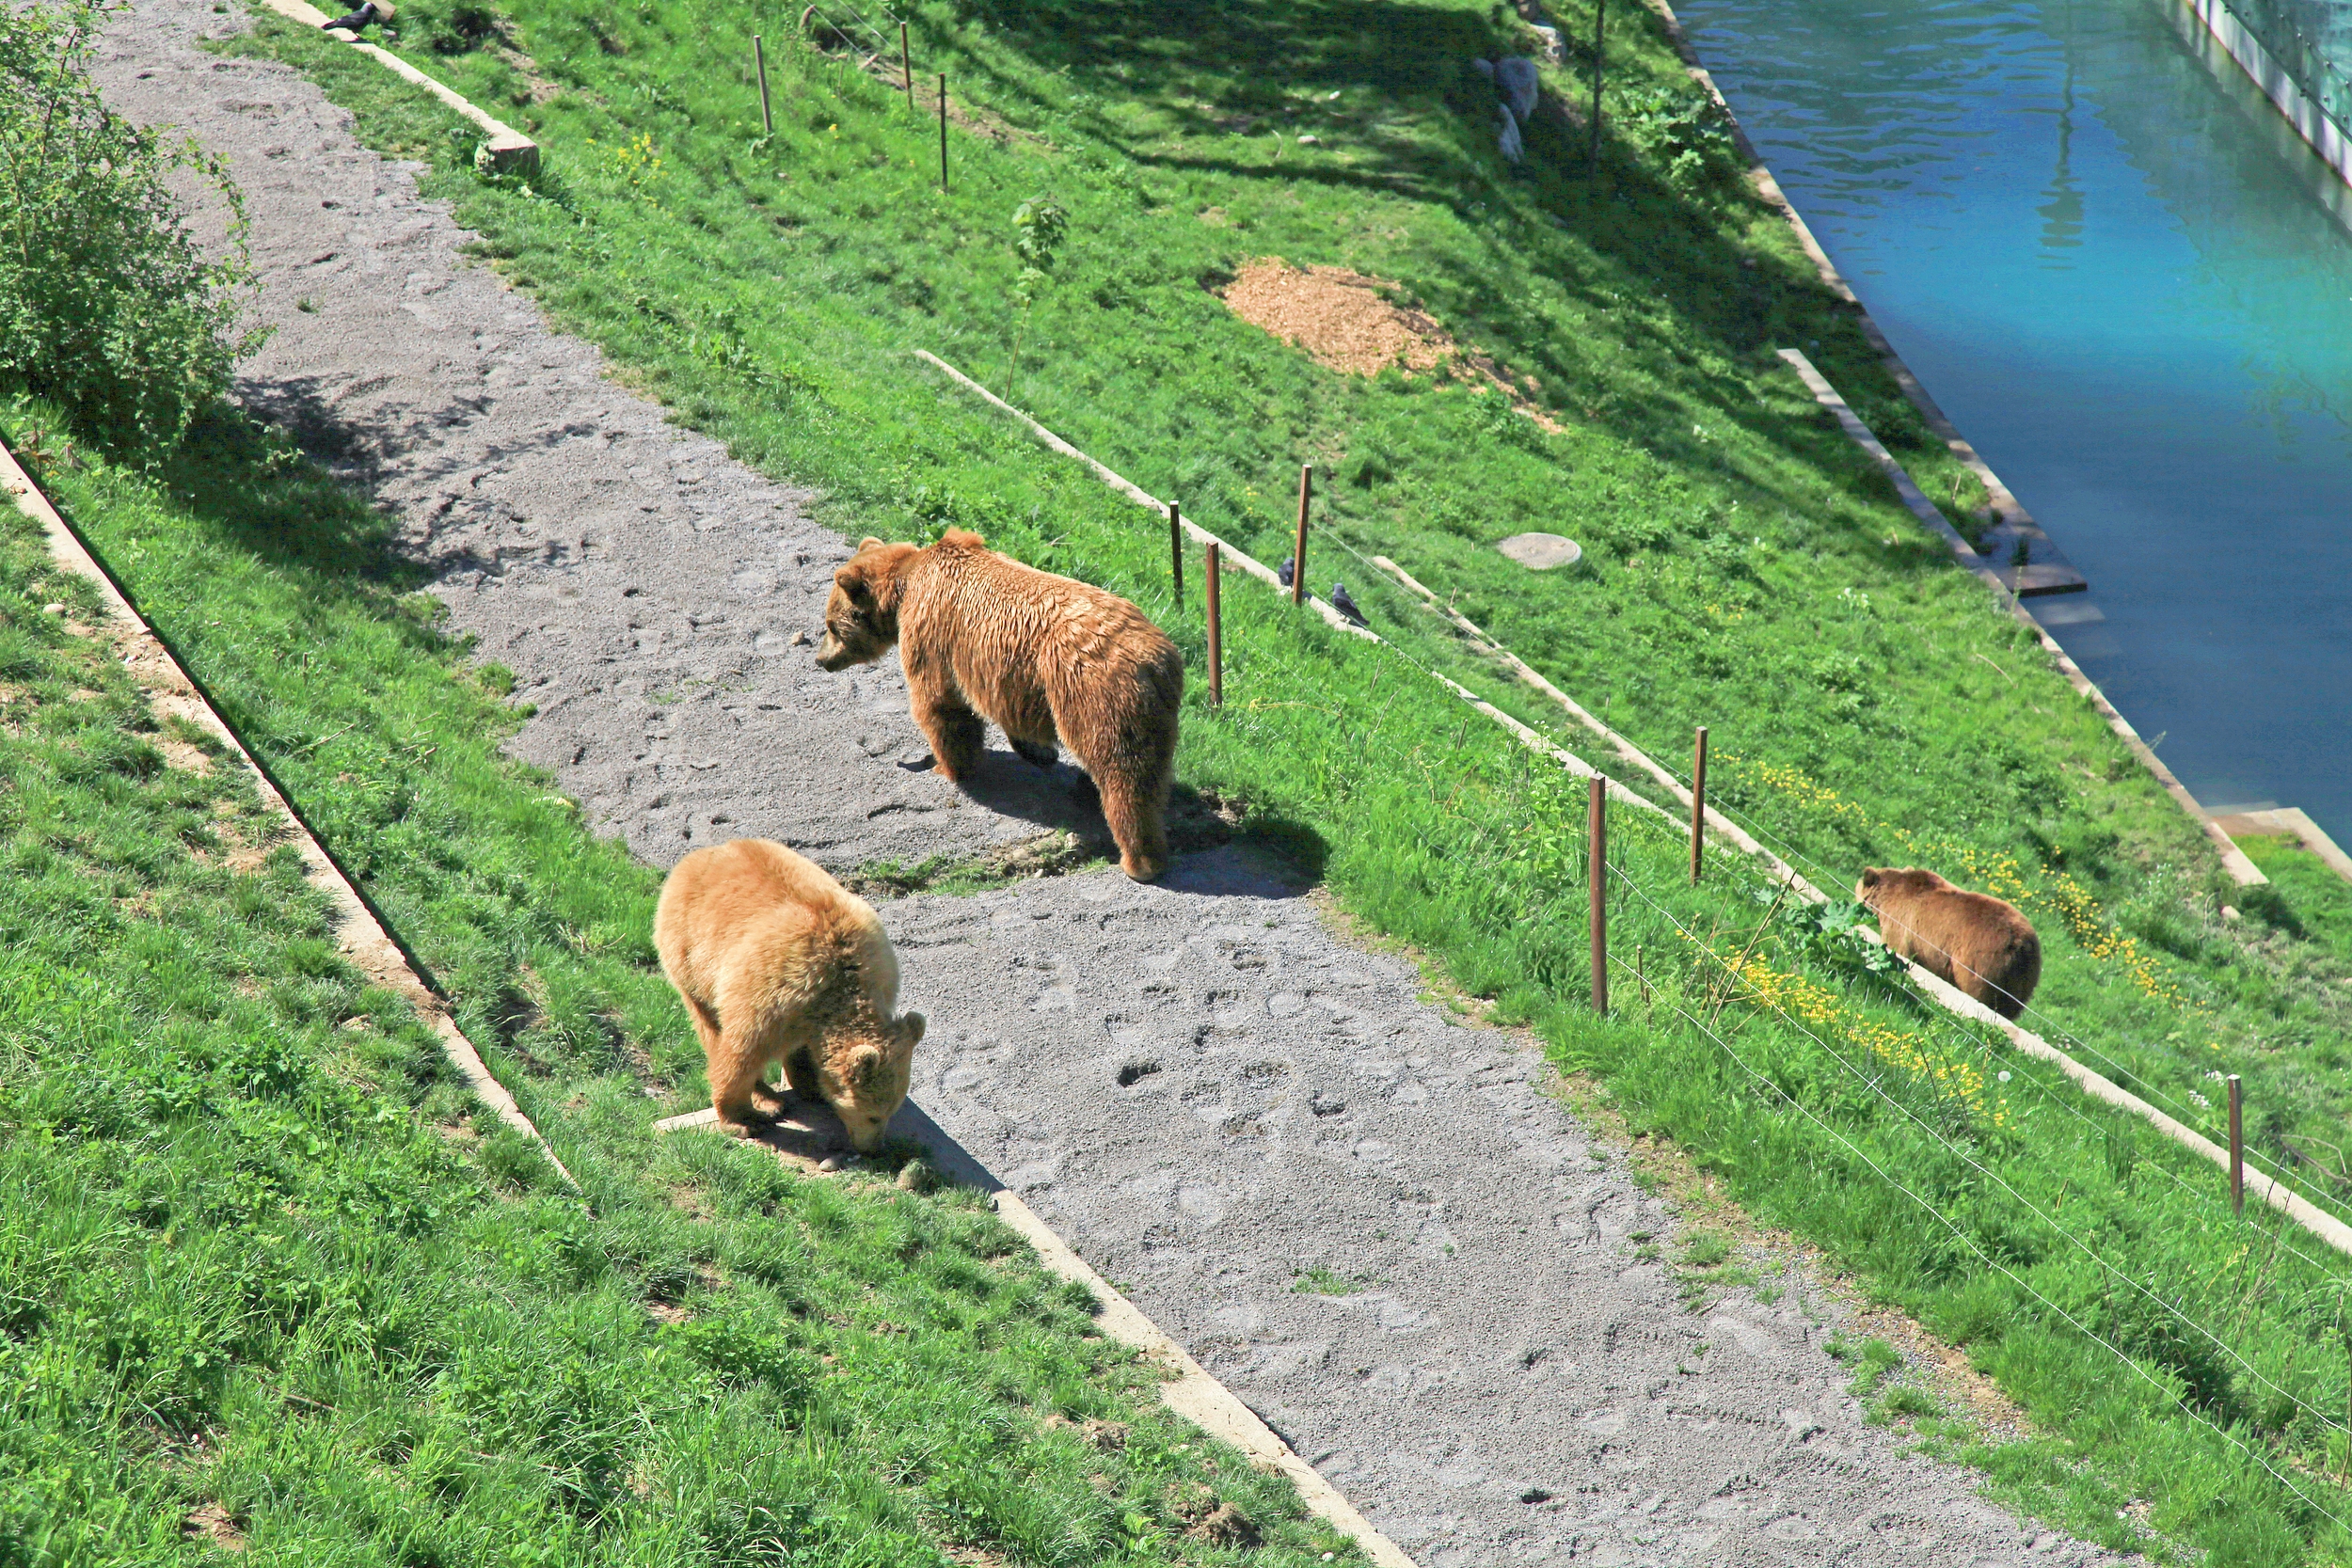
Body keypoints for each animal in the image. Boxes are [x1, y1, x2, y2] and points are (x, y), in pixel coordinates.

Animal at [654, 837, 925, 1150]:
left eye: (891, 1111)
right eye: (873, 1116)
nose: (873, 1148)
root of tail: (703, 853)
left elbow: (803, 1050)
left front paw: (812, 1084)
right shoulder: (769, 996)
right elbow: (742, 1052)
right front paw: (742, 1119)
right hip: (691, 958)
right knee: (710, 1026)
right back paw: (768, 1100)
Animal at [815, 528, 1184, 882]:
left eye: (831, 625)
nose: (821, 660)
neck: (903, 588)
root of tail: (1152, 661)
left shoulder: (932, 633)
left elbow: (941, 704)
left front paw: (947, 766)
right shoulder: (1013, 677)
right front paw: (1039, 752)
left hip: (1092, 693)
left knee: (1121, 770)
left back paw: (1139, 860)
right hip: (1154, 711)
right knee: (1151, 771)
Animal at [1855, 866, 2042, 1020]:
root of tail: (2021, 944)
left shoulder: (1901, 924)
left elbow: (1897, 950)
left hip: (1982, 961)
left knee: (1979, 993)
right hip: (2024, 978)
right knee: (2010, 1006)